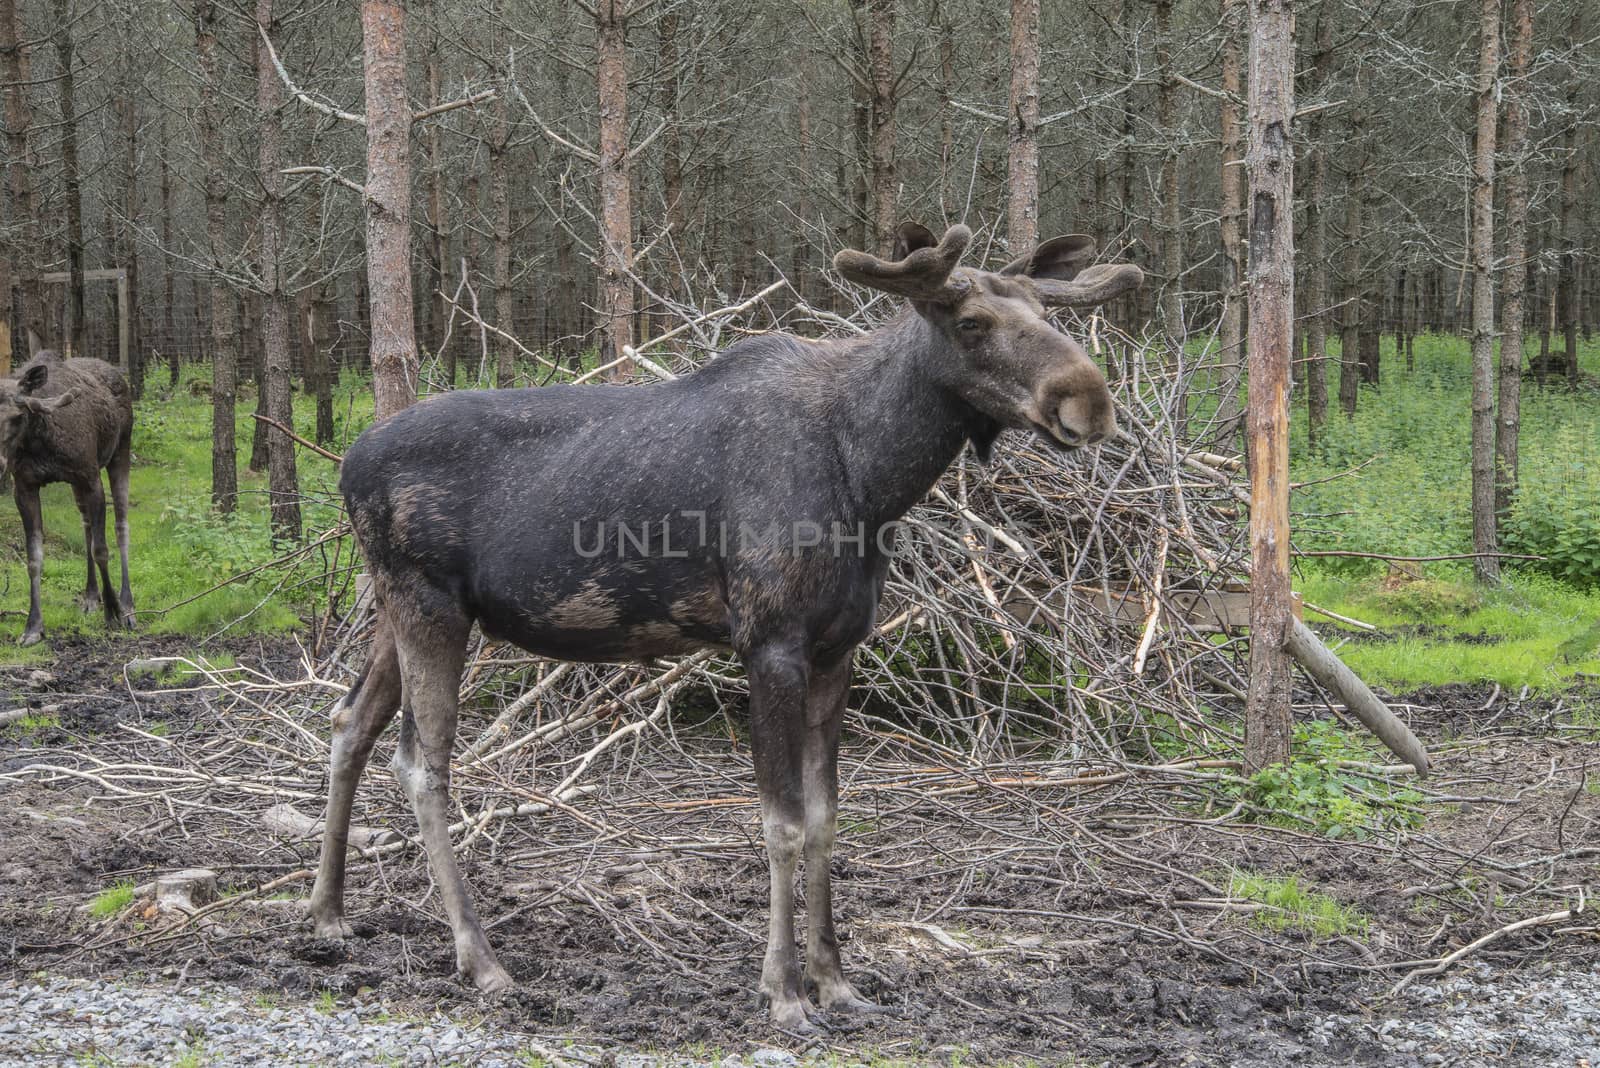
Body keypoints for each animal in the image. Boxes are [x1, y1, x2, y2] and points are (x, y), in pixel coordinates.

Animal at [0, 354, 134, 645]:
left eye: (17, 416)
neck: (40, 440)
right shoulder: (24, 487)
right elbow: (34, 558)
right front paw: (33, 627)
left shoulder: (91, 477)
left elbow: (101, 549)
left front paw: (113, 612)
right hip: (76, 485)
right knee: (86, 526)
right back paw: (91, 597)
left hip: (120, 451)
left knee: (121, 525)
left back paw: (127, 604)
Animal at [308, 225, 1139, 1036]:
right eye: (971, 323)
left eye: (1049, 310)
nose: (1089, 400)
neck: (871, 481)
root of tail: (345, 466)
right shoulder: (768, 642)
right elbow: (783, 824)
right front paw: (785, 992)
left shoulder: (838, 650)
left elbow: (828, 819)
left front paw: (838, 982)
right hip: (428, 603)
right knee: (421, 765)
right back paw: (480, 961)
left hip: (397, 608)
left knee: (349, 722)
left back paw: (328, 912)